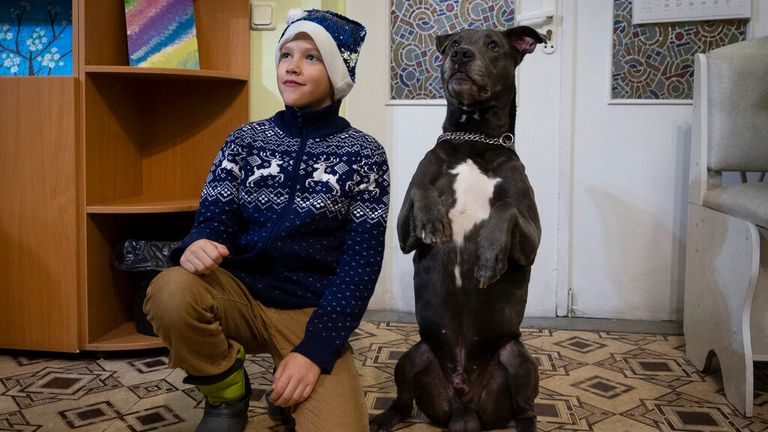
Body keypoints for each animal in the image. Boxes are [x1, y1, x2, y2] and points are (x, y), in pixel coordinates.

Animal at [368, 26, 544, 432]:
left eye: (493, 45)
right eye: (452, 44)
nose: (460, 54)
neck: (473, 142)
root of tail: (464, 405)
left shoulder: (532, 240)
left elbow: (505, 208)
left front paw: (490, 258)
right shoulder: (404, 230)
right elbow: (421, 188)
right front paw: (433, 219)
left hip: (518, 359)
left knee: (525, 409)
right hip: (412, 356)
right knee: (403, 402)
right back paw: (381, 419)